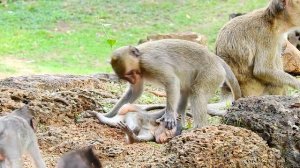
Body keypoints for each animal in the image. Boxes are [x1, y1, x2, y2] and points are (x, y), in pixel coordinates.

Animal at [105, 39, 241, 129]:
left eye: (131, 73)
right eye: (126, 77)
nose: (133, 80)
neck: (140, 60)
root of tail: (217, 59)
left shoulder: (150, 63)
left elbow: (171, 81)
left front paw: (169, 114)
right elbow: (135, 92)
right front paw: (109, 115)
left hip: (213, 73)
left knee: (197, 92)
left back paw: (199, 128)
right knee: (185, 90)